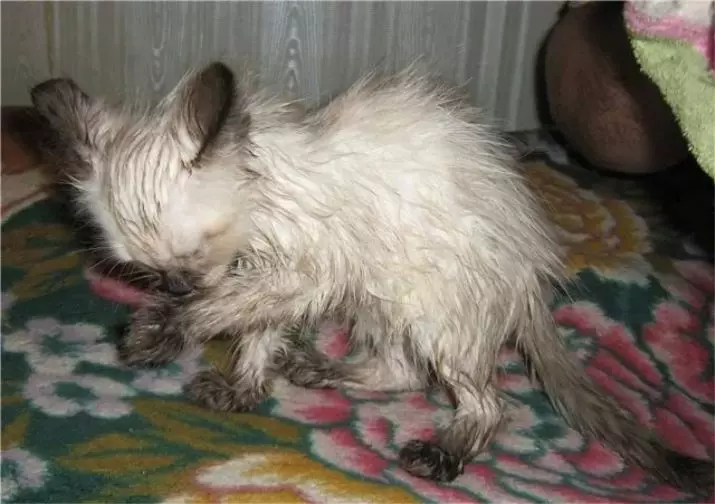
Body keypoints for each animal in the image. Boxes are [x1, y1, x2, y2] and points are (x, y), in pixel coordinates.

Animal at [32, 61, 715, 494]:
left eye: (192, 259)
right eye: (148, 273)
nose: (177, 289)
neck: (262, 203)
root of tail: (529, 272)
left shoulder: (302, 270)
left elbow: (229, 310)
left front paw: (159, 335)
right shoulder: (280, 273)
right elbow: (256, 333)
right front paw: (243, 388)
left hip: (429, 300)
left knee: (487, 402)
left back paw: (442, 450)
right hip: (378, 295)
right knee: (403, 371)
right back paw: (318, 368)